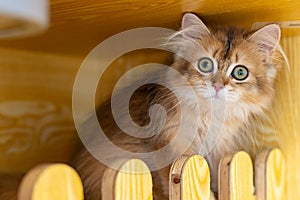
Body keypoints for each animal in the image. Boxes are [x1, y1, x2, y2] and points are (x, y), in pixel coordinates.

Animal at [72, 13, 284, 199]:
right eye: (205, 65)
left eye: (240, 72)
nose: (217, 86)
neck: (209, 115)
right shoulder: (166, 144)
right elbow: (172, 179)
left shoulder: (218, 149)